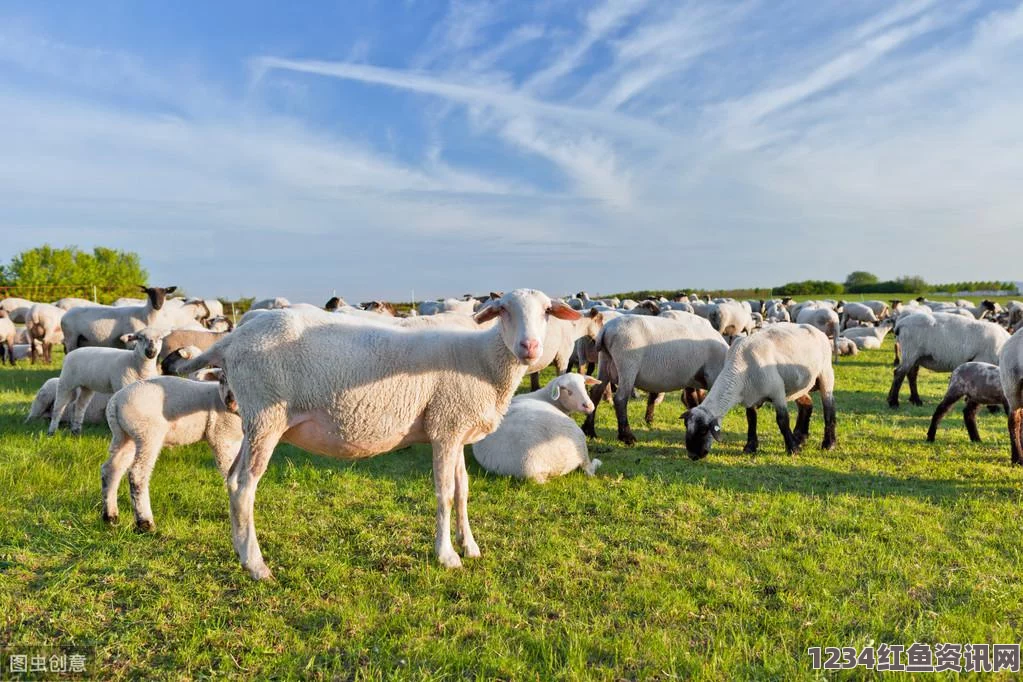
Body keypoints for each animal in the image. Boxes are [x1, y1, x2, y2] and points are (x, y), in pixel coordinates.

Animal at [100, 370, 242, 531]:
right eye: (222, 379)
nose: (230, 402)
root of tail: (115, 402)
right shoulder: (222, 437)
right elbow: (230, 474)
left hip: (124, 435)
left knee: (111, 468)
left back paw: (110, 516)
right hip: (148, 433)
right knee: (137, 473)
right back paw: (145, 523)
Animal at [171, 290, 581, 580]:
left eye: (547, 311)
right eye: (506, 310)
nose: (530, 348)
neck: (482, 359)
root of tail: (232, 339)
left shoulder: (455, 427)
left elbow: (463, 491)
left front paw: (470, 546)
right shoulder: (445, 426)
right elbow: (445, 494)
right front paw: (447, 556)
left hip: (254, 421)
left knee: (231, 479)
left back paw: (240, 550)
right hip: (267, 414)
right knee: (244, 486)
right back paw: (256, 565)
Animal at [472, 376, 605, 482]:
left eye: (584, 386)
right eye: (568, 391)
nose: (589, 406)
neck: (543, 397)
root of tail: (533, 470)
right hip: (579, 443)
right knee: (589, 468)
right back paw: (597, 462)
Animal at [581, 312, 732, 445]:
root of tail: (606, 329)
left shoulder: (692, 379)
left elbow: (693, 400)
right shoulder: (712, 375)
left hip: (605, 361)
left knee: (595, 393)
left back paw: (589, 431)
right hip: (627, 365)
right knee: (620, 399)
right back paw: (627, 437)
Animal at [679, 325, 838, 458]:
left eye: (703, 430)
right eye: (686, 427)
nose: (693, 455)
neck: (740, 367)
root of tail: (818, 331)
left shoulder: (777, 391)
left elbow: (782, 420)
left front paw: (792, 449)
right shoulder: (750, 396)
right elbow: (751, 419)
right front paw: (750, 447)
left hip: (825, 375)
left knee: (829, 409)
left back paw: (828, 444)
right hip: (798, 386)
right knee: (807, 405)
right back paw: (800, 437)